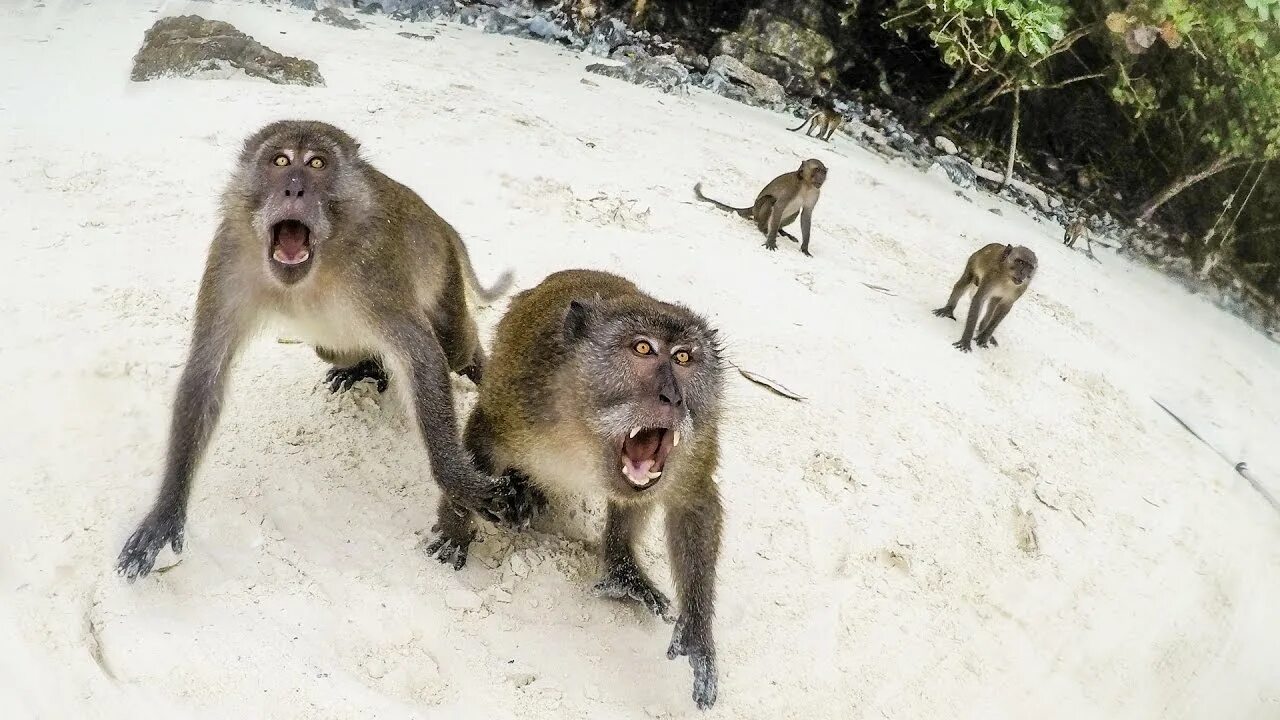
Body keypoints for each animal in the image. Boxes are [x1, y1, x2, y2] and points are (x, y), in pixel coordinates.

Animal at [430, 267, 727, 707]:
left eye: (684, 357)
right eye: (642, 348)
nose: (673, 397)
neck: (588, 429)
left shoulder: (698, 437)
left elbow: (693, 501)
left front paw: (697, 632)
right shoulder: (522, 398)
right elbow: (479, 442)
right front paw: (455, 530)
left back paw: (621, 566)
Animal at [691, 156, 829, 254]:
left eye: (823, 172)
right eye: (817, 170)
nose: (821, 178)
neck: (807, 185)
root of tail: (753, 207)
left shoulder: (815, 193)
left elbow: (806, 214)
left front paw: (805, 248)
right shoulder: (792, 188)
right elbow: (779, 206)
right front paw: (771, 240)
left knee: (795, 212)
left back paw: (781, 231)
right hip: (758, 210)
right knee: (770, 200)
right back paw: (763, 228)